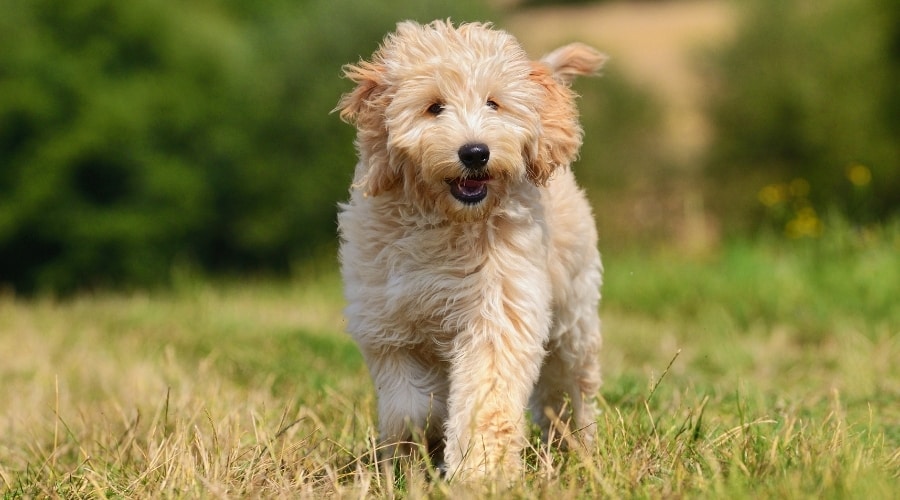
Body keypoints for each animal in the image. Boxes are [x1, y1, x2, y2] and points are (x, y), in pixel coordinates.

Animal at [336, 20, 604, 480]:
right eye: (434, 107)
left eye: (493, 103)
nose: (475, 152)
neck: (445, 222)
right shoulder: (388, 326)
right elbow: (408, 405)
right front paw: (419, 447)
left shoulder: (498, 312)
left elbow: (487, 398)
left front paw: (482, 472)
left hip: (574, 313)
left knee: (571, 383)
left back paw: (576, 446)